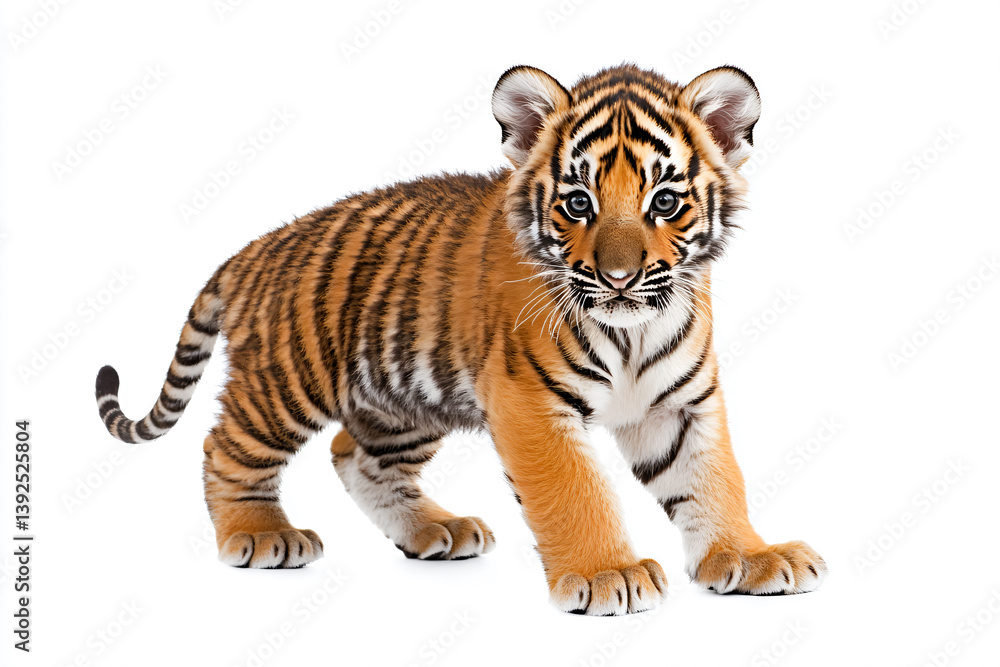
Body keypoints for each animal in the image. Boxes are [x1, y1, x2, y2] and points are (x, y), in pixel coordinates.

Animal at [94, 63, 827, 615]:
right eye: (578, 203)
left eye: (665, 203)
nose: (618, 278)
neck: (633, 330)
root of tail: (255, 247)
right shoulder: (529, 400)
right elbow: (575, 491)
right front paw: (605, 574)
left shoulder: (679, 403)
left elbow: (711, 478)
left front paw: (750, 556)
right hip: (286, 381)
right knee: (226, 447)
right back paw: (260, 535)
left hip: (402, 399)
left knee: (354, 456)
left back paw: (434, 530)